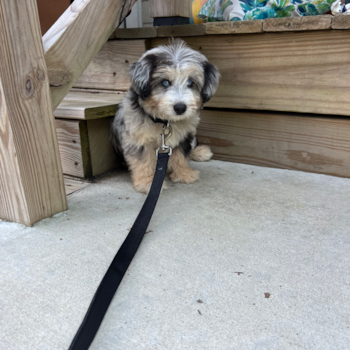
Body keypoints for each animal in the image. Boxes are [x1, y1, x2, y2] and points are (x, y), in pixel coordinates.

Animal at [110, 40, 219, 194]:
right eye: (165, 82)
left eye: (190, 82)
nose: (180, 108)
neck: (164, 121)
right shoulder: (137, 140)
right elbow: (144, 161)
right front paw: (148, 183)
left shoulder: (184, 137)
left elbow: (181, 155)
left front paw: (183, 173)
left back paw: (200, 152)